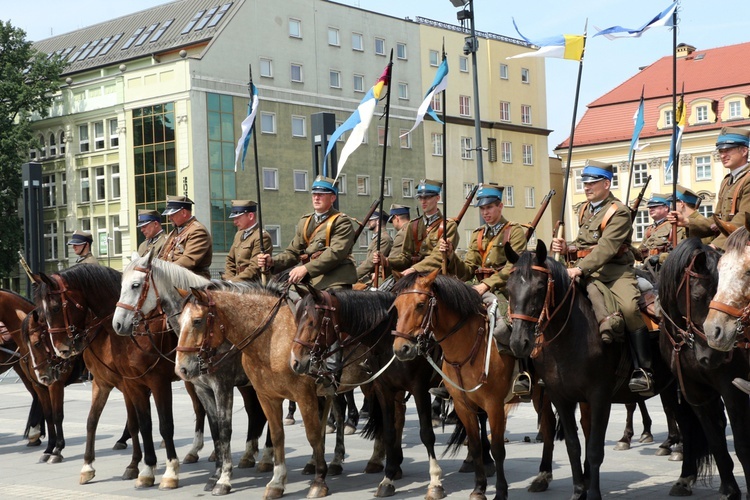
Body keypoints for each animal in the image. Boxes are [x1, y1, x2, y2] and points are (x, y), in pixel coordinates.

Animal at [35, 266, 182, 488]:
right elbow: (96, 421)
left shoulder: (155, 383)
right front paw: (88, 466)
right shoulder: (107, 383)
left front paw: (153, 469)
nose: (61, 350)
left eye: (55, 308)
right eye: (43, 315)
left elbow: (157, 424)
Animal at [114, 254, 270, 496]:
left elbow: (220, 429)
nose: (118, 323)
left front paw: (220, 478)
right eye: (120, 285)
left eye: (136, 285)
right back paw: (249, 455)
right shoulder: (198, 387)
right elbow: (214, 429)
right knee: (256, 413)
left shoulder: (219, 386)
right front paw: (216, 474)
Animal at [178, 284, 330, 498]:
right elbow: (274, 434)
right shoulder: (263, 395)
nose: (181, 368)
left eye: (197, 321)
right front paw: (276, 482)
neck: (272, 339)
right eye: (179, 321)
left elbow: (312, 433)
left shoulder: (303, 395)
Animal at [390, 272, 520, 498]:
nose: (401, 349)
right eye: (396, 306)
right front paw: (479, 489)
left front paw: (501, 491)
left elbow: (498, 449)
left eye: (421, 305)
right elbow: (475, 445)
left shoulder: (495, 405)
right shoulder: (462, 404)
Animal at [508, 240, 708, 498]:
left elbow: (594, 448)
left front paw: (592, 493)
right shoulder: (560, 398)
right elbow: (573, 445)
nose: (518, 342)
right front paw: (578, 491)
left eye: (540, 287)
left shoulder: (599, 397)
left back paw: (684, 474)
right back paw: (685, 478)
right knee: (685, 422)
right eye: (508, 288)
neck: (570, 335)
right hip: (670, 388)